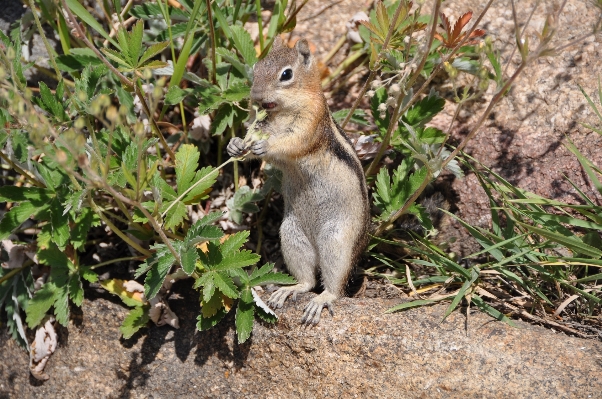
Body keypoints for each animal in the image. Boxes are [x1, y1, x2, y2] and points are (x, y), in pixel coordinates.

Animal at [225, 36, 368, 324]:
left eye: (286, 74)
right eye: (256, 67)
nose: (256, 96)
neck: (281, 112)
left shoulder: (309, 124)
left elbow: (290, 143)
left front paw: (264, 146)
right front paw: (236, 145)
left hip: (336, 241)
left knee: (333, 286)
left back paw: (321, 301)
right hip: (292, 236)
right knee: (308, 280)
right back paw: (289, 290)